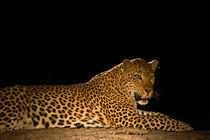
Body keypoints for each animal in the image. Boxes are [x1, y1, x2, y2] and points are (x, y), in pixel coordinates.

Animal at [0, 58, 194, 133]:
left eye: (152, 77)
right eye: (138, 76)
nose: (148, 90)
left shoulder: (132, 112)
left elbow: (159, 115)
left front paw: (180, 121)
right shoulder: (127, 117)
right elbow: (158, 120)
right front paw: (185, 126)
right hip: (14, 99)